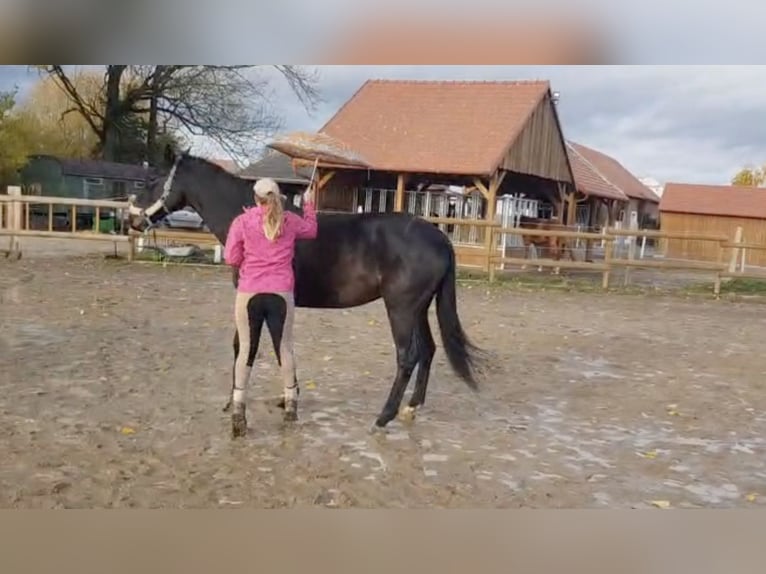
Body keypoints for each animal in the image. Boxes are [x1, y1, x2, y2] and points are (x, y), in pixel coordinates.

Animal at [125, 148, 486, 432]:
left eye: (152, 181)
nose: (132, 220)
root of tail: (439, 238)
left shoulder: (256, 302)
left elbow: (248, 346)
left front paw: (239, 402)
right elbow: (275, 346)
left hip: (401, 308)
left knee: (407, 356)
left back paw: (384, 417)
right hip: (419, 309)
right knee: (428, 350)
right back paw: (411, 409)